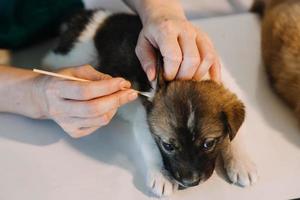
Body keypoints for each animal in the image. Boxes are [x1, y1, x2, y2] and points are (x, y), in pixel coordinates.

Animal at [42, 9, 258, 197]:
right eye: (168, 146)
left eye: (208, 144)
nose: (189, 183)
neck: (189, 77)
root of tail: (87, 17)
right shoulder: (143, 119)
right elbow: (151, 147)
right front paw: (161, 175)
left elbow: (237, 136)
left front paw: (242, 162)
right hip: (72, 55)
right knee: (52, 57)